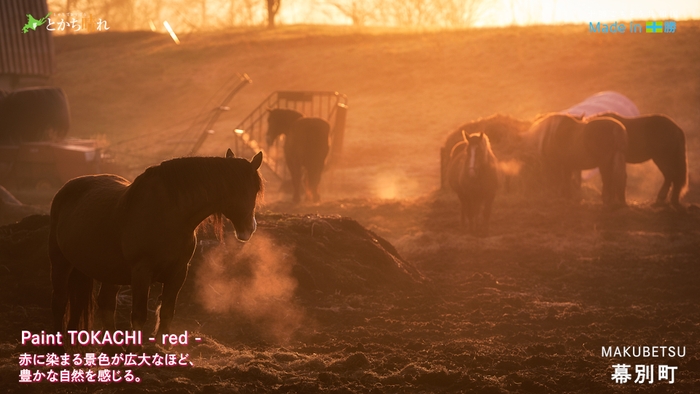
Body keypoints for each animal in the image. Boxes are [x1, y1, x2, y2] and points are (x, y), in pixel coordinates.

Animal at [48, 149, 262, 344]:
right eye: (252, 190)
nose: (249, 229)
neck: (171, 216)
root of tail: (67, 187)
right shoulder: (141, 273)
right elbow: (139, 315)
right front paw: (137, 351)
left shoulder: (179, 272)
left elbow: (167, 311)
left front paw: (161, 347)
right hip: (61, 262)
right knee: (60, 301)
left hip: (108, 271)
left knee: (103, 303)